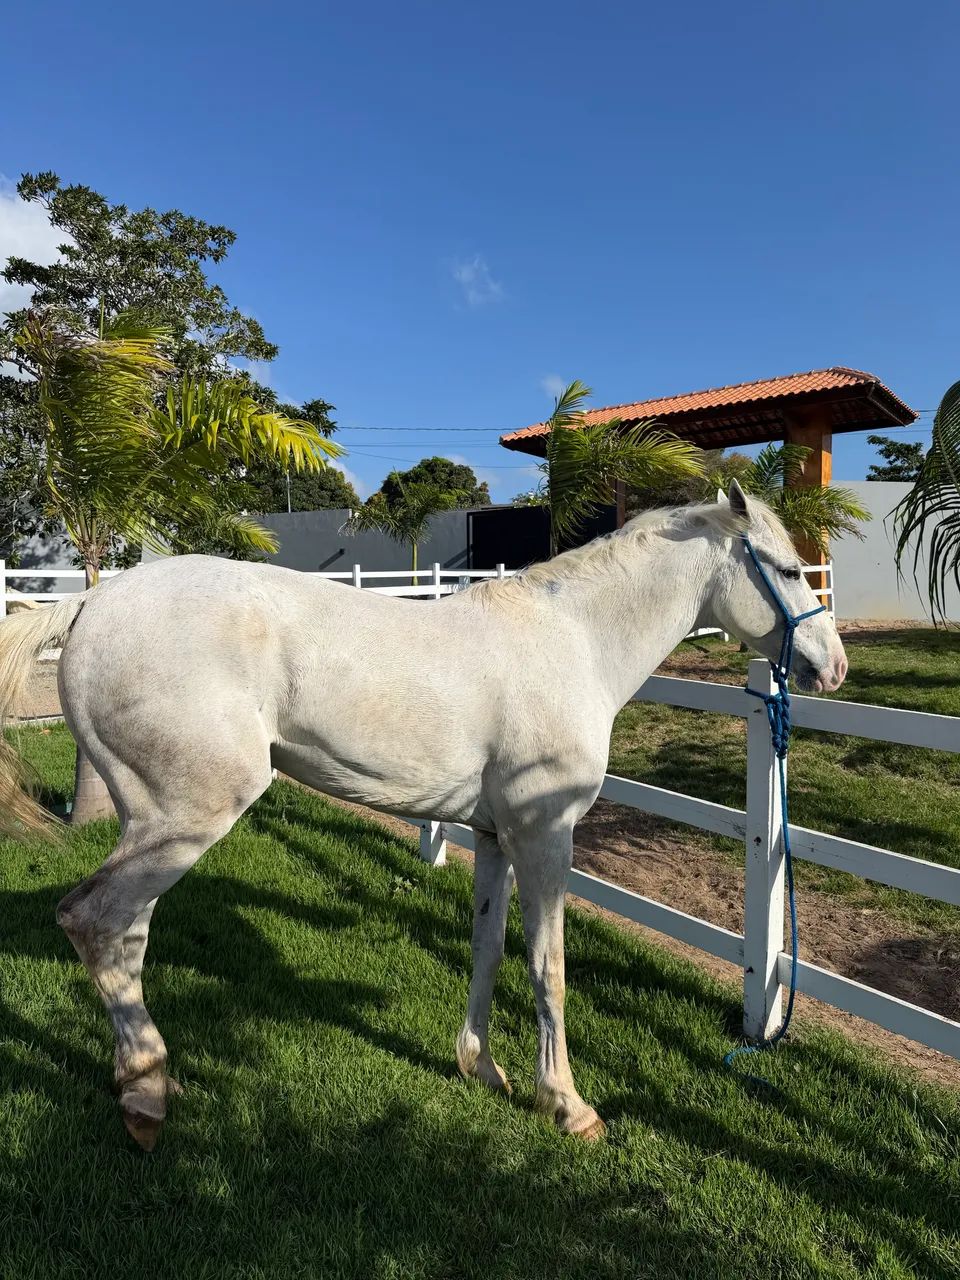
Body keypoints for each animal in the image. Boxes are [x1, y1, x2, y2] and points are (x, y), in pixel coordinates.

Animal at [0, 480, 846, 1149]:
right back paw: (145, 1092)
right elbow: (548, 967)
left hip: (156, 825)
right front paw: (567, 1105)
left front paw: (483, 1066)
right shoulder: (546, 837)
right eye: (790, 570)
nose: (832, 667)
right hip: (185, 818)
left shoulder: (495, 837)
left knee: (123, 933)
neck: (572, 642)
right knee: (99, 922)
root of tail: (93, 600)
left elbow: (488, 948)